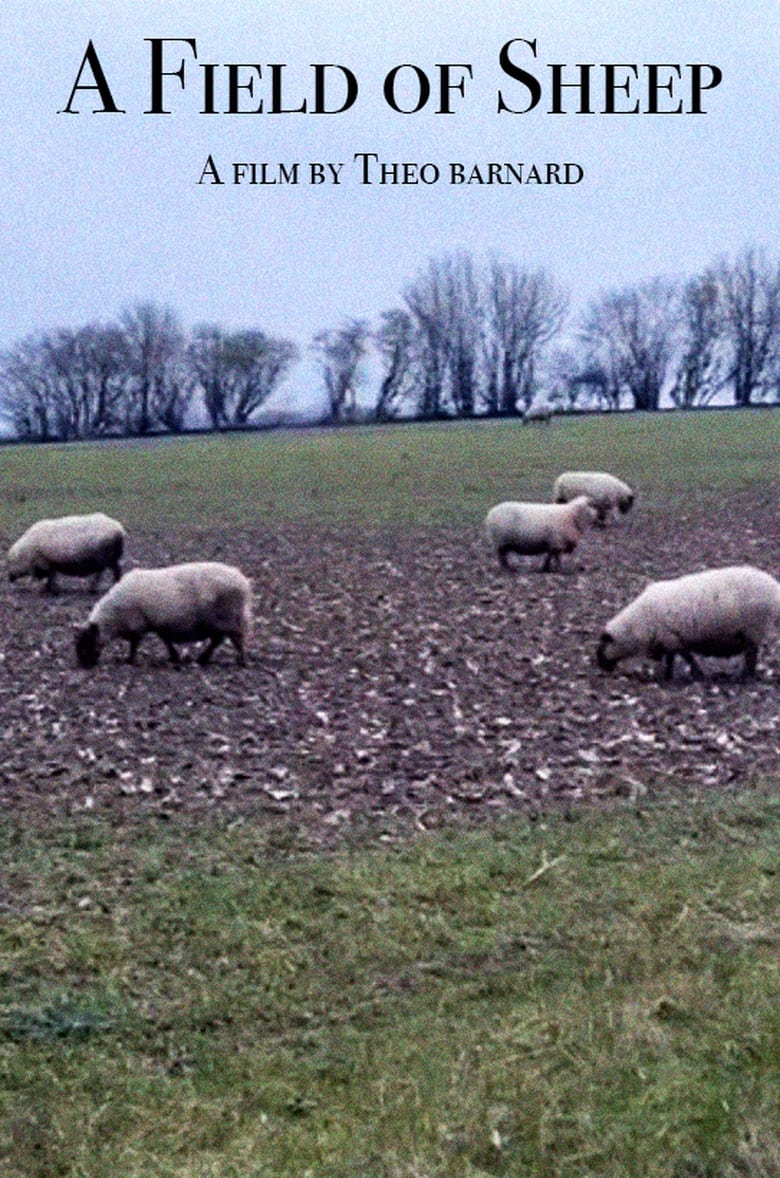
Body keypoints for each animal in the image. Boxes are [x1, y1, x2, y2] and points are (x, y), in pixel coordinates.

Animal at [74, 563, 252, 669]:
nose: (83, 665)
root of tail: (243, 582)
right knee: (218, 640)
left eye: (87, 641)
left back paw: (241, 660)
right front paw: (174, 657)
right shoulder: (159, 623)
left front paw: (130, 660)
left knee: (236, 638)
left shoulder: (137, 624)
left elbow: (135, 644)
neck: (113, 618)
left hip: (229, 619)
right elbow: (166, 640)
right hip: (221, 621)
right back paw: (204, 659)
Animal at [598, 563, 780, 683]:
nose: (601, 667)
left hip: (753, 628)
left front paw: (694, 675)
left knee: (751, 654)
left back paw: (745, 677)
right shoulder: (668, 641)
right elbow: (672, 659)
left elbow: (686, 657)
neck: (636, 625)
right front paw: (668, 676)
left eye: (603, 646)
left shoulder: (673, 638)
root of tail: (774, 587)